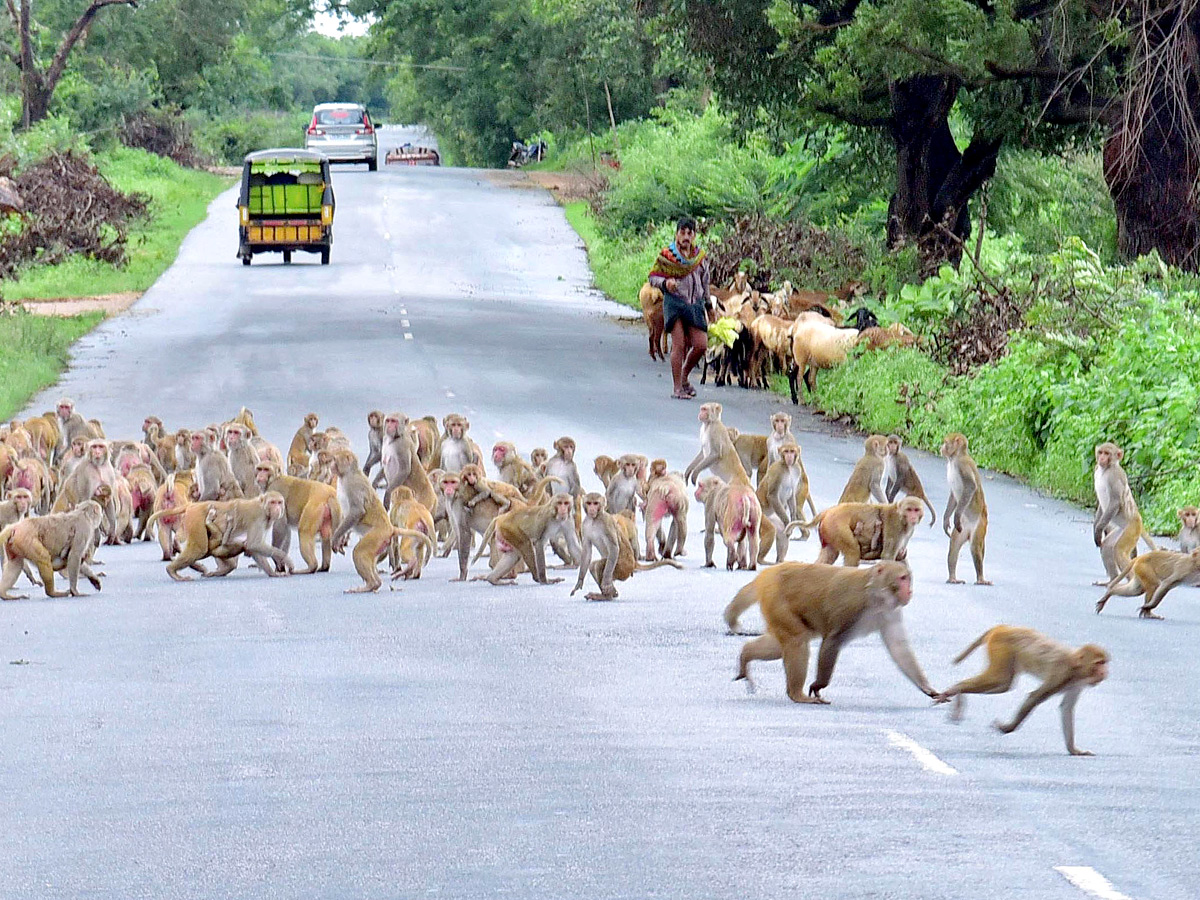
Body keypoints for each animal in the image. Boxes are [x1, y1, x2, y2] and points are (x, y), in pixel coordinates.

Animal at [648, 217, 710, 400]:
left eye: (689, 232)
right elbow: (655, 277)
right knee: (677, 347)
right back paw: (678, 390)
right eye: (682, 231)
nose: (685, 238)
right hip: (671, 320)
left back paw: (684, 384)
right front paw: (668, 284)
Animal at [931, 628, 1108, 763]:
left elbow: (1067, 708)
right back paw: (957, 688)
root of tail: (1002, 627)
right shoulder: (1061, 673)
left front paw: (1074, 750)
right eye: (1098, 663)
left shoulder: (1078, 684)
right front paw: (1007, 728)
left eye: (1105, 663)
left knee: (1003, 685)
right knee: (999, 680)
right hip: (1001, 648)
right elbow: (1035, 697)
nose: (1105, 672)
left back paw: (958, 693)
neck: (1076, 667)